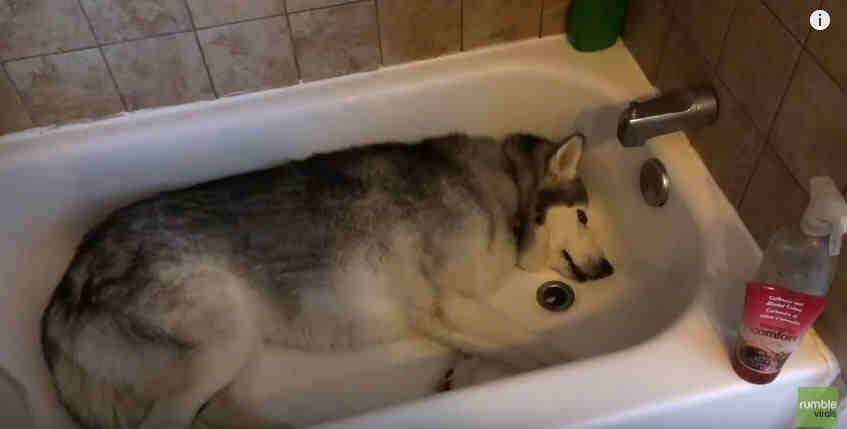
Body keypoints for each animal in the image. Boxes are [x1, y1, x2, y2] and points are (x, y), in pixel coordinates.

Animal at [41, 132, 608, 426]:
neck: (500, 190)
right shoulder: (452, 302)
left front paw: (464, 376)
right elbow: (543, 346)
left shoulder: (450, 317)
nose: (608, 270)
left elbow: (498, 348)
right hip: (223, 341)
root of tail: (69, 281)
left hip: (227, 360)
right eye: (583, 216)